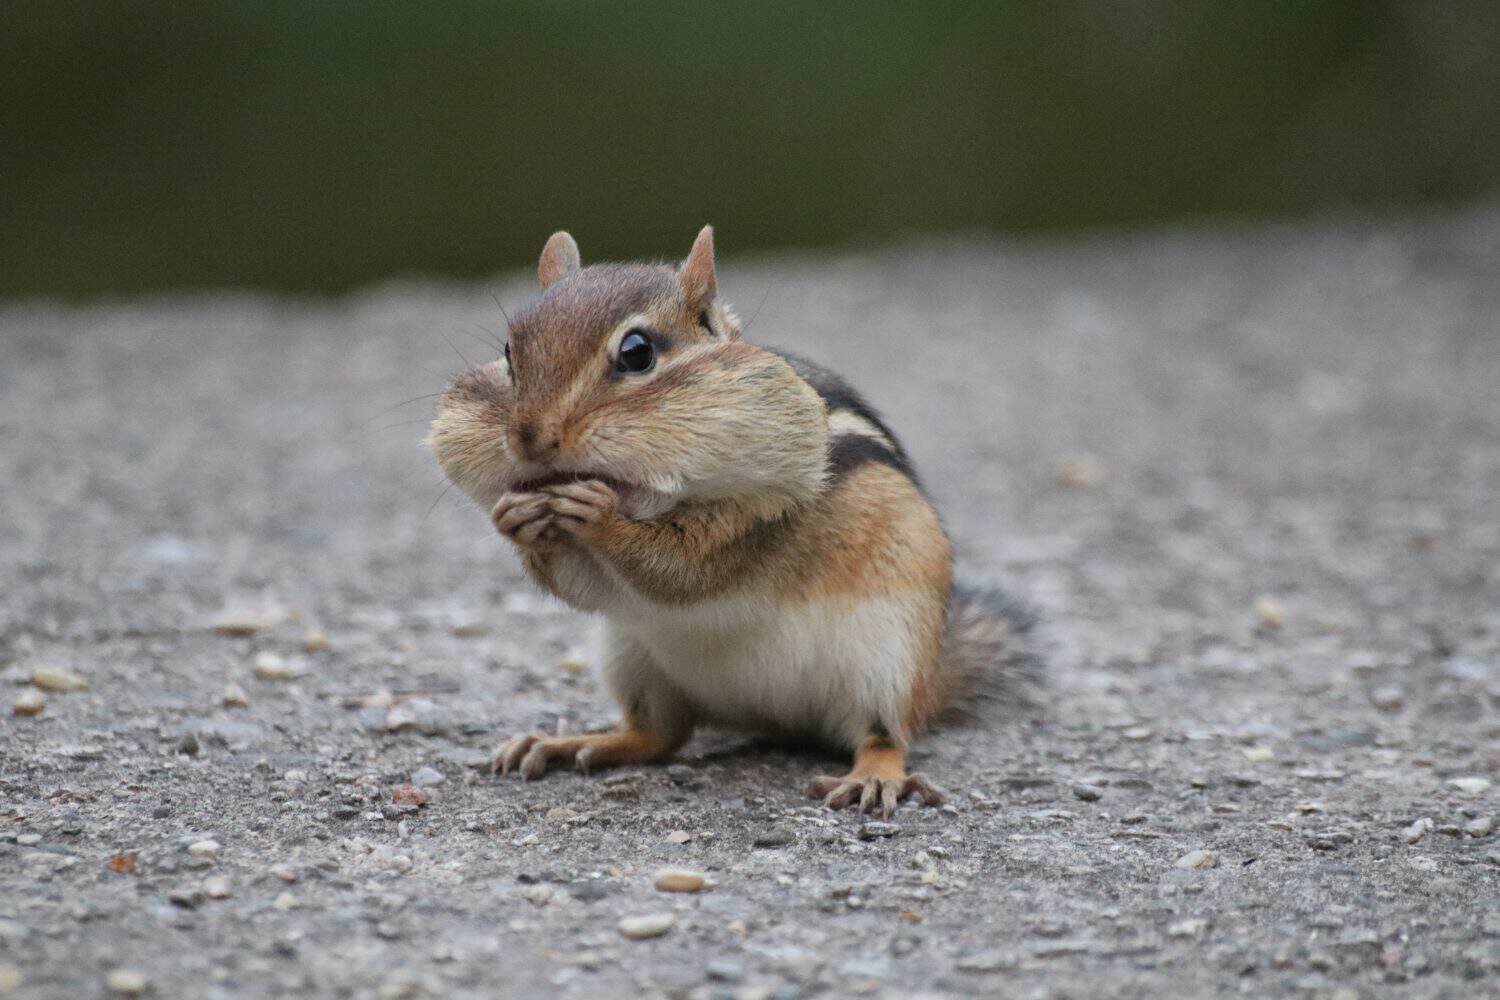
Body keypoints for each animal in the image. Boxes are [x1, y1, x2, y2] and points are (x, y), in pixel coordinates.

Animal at [428, 226, 1035, 817]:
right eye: (509, 353)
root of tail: (771, 716)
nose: (530, 439)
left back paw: (874, 775)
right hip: (631, 655)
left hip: (887, 657)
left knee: (883, 735)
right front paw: (515, 519)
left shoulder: (758, 521)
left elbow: (682, 572)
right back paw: (569, 742)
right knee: (658, 736)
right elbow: (583, 587)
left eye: (637, 352)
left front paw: (600, 516)